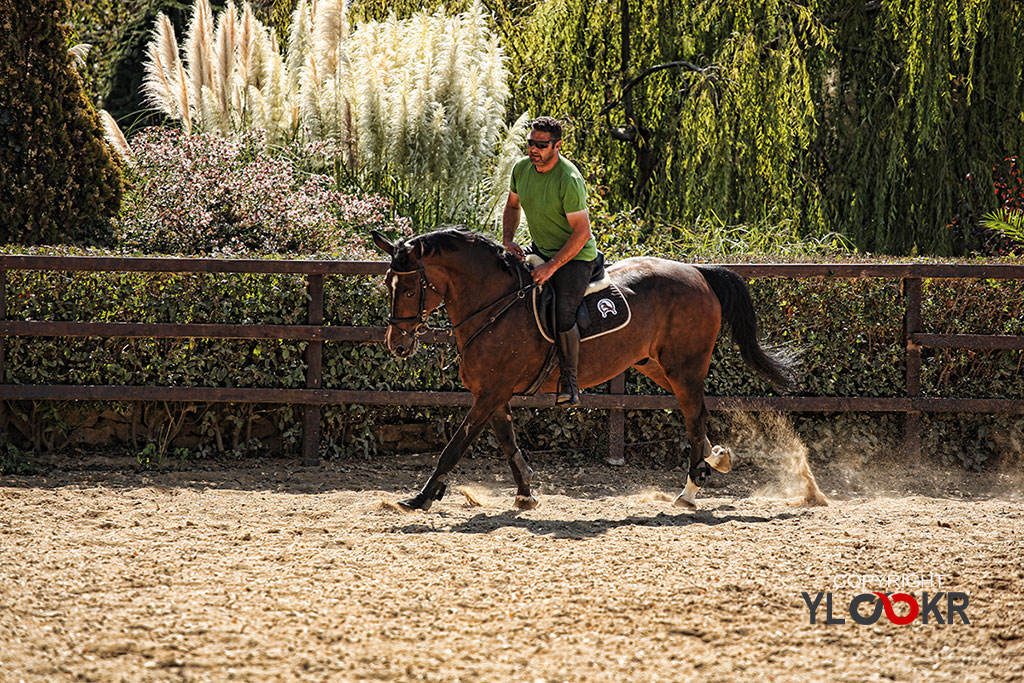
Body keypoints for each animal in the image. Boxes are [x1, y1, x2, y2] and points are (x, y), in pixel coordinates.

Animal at [372, 227, 794, 509]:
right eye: (388, 283)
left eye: (408, 289)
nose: (397, 344)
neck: (496, 307)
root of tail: (698, 273)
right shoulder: (492, 395)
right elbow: (508, 443)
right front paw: (525, 493)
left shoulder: (490, 394)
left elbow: (454, 447)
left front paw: (421, 497)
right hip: (655, 365)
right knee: (699, 418)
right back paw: (716, 459)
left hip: (684, 368)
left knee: (694, 418)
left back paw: (690, 489)